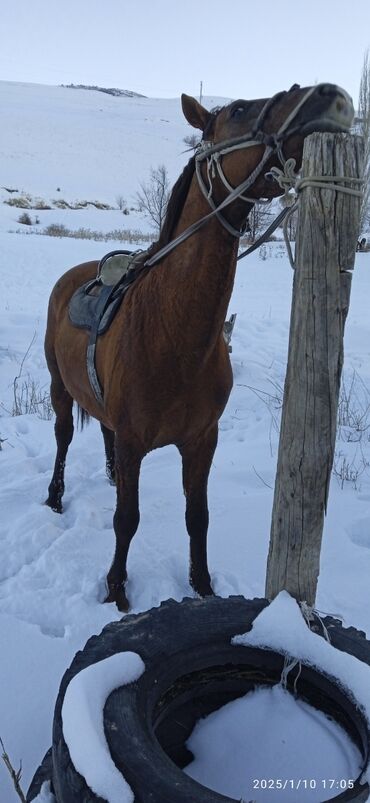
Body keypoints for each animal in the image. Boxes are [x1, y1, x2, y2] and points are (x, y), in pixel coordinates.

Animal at [44, 81, 354, 608]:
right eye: (240, 109)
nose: (332, 95)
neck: (173, 337)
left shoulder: (202, 439)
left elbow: (198, 518)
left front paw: (203, 587)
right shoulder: (134, 442)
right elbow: (126, 520)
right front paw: (116, 589)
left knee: (101, 429)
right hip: (59, 388)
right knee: (64, 437)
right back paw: (55, 495)